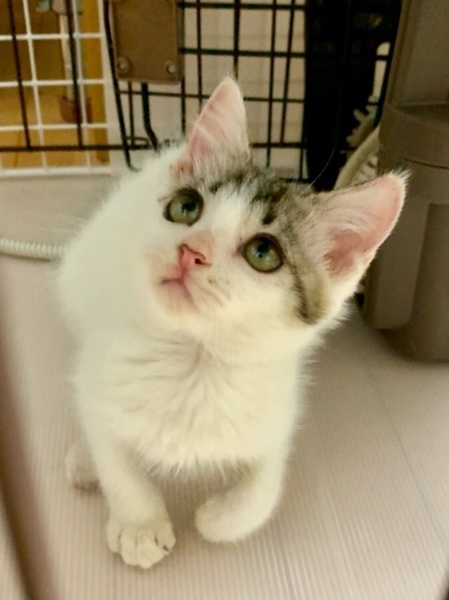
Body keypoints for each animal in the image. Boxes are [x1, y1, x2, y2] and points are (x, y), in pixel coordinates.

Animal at [59, 77, 406, 570]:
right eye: (186, 208)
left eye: (263, 253)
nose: (191, 251)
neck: (195, 361)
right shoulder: (98, 372)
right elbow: (113, 453)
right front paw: (139, 524)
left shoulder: (277, 411)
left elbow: (266, 485)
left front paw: (219, 519)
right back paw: (83, 461)